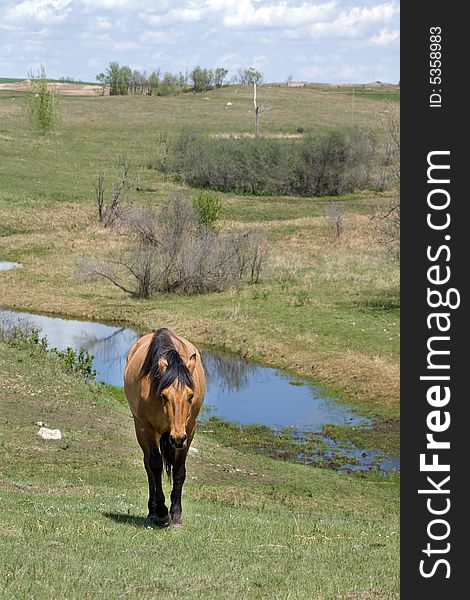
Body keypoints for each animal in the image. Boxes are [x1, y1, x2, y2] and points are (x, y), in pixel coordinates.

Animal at [123, 326, 206, 528]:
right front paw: (162, 513)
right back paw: (152, 512)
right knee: (149, 466)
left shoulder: (189, 430)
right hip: (141, 429)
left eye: (190, 396)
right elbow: (155, 465)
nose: (177, 438)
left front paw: (175, 514)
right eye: (164, 395)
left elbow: (179, 471)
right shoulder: (147, 427)